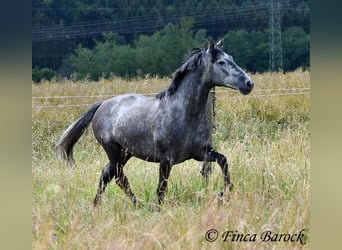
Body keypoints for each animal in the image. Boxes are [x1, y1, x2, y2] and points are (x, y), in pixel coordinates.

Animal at [56, 40, 254, 206]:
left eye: (231, 58)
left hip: (126, 153)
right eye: (221, 62)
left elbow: (223, 161)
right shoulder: (166, 160)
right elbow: (161, 189)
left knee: (107, 174)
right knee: (118, 177)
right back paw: (138, 205)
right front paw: (158, 209)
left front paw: (223, 193)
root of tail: (102, 104)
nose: (249, 83)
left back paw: (99, 205)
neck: (184, 113)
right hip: (113, 151)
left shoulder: (201, 152)